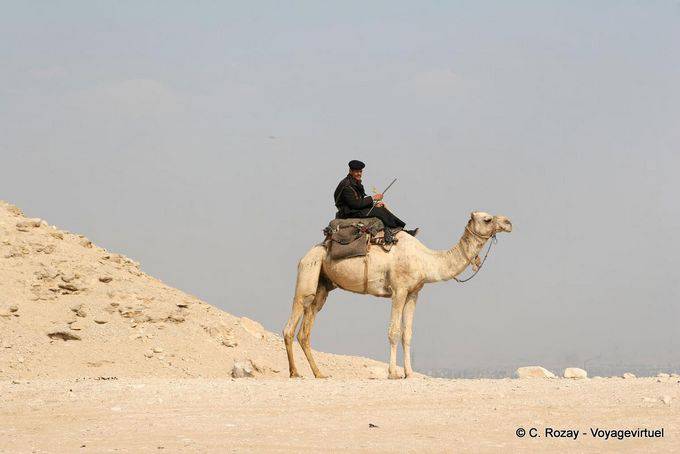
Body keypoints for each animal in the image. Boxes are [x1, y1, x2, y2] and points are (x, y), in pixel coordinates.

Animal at [283, 211, 512, 379]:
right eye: (487, 218)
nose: (508, 223)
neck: (426, 260)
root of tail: (309, 253)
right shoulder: (399, 290)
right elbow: (393, 332)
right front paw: (393, 373)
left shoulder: (413, 293)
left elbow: (407, 333)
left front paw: (409, 373)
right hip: (309, 269)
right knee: (296, 313)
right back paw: (295, 373)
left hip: (323, 283)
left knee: (308, 324)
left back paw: (319, 373)